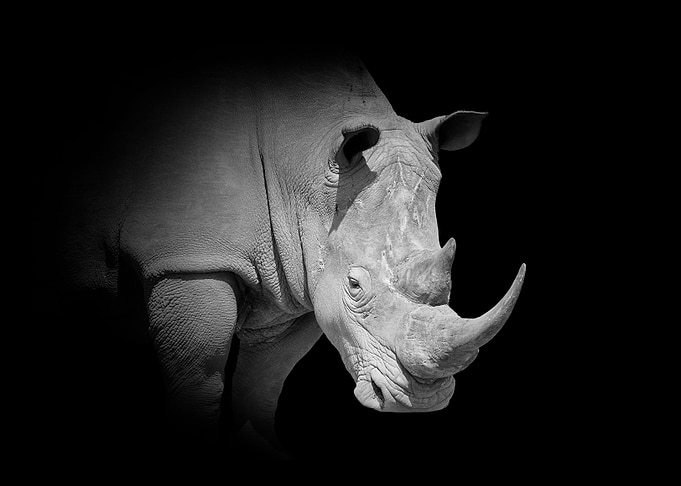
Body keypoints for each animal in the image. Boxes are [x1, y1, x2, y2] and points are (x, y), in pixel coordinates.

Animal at [50, 48, 525, 450]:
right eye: (354, 286)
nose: (423, 400)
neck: (305, 162)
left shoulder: (299, 280)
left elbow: (262, 385)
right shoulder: (189, 261)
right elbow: (197, 378)